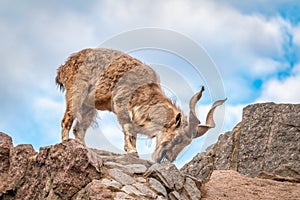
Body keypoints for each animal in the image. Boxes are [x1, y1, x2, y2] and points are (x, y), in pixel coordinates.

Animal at [55, 48, 225, 162]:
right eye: (177, 139)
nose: (169, 158)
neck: (145, 90)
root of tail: (63, 67)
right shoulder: (121, 103)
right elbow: (128, 129)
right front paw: (131, 151)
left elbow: (134, 134)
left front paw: (133, 150)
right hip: (76, 92)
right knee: (66, 119)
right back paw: (66, 142)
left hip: (89, 107)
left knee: (79, 128)